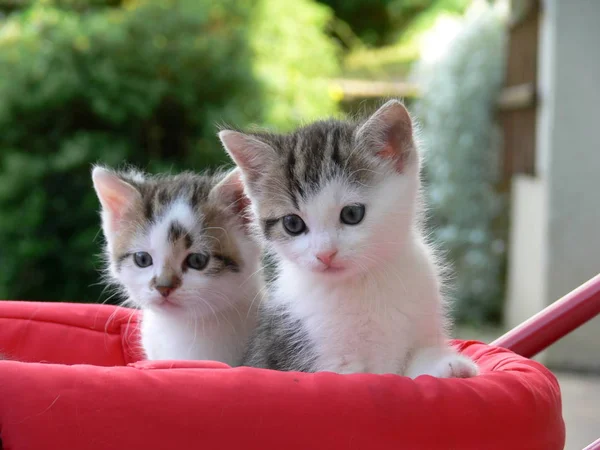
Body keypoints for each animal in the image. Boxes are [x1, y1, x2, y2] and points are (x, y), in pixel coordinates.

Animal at [219, 100, 478, 378]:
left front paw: (449, 367)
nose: (325, 254)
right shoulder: (320, 356)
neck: (364, 284)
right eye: (292, 224)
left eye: (352, 214)